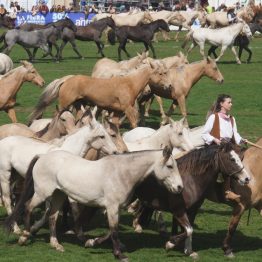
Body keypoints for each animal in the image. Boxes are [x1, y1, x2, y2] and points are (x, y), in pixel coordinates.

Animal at [29, 61, 172, 128]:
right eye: (160, 73)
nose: (169, 85)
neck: (128, 83)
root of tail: (66, 79)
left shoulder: (117, 111)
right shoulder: (128, 109)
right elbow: (134, 124)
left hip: (77, 105)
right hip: (65, 104)